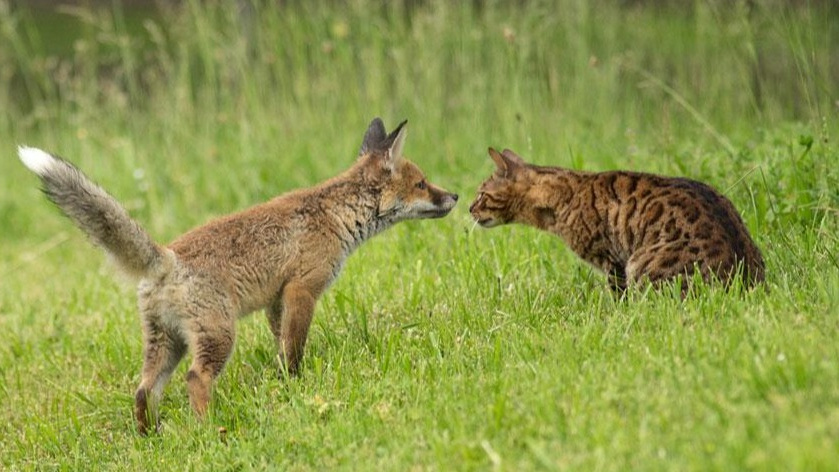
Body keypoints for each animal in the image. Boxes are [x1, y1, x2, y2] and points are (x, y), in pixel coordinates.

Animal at [18, 119, 460, 436]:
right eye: (422, 184)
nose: (454, 196)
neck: (334, 216)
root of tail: (166, 258)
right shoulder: (303, 289)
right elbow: (294, 349)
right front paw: (297, 386)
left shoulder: (276, 300)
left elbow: (281, 346)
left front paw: (285, 384)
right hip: (218, 336)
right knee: (196, 379)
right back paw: (208, 432)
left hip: (168, 344)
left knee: (143, 389)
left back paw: (150, 438)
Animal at [470, 148, 764, 296]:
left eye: (482, 194)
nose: (470, 209)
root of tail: (746, 285)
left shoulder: (611, 260)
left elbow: (617, 295)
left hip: (641, 264)